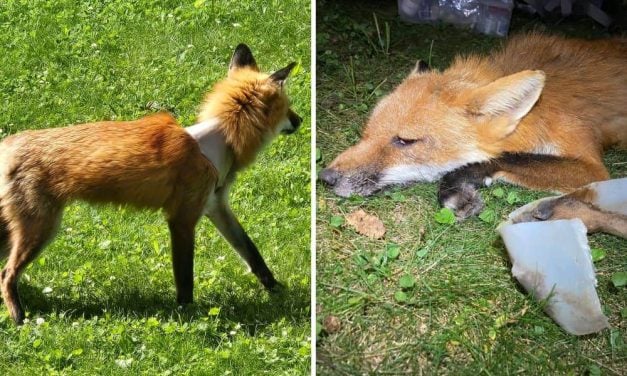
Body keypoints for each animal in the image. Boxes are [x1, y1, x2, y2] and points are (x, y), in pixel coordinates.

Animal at [0, 44, 304, 324]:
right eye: (287, 107)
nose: (300, 120)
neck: (220, 141)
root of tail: (8, 143)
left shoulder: (216, 206)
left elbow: (252, 253)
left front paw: (276, 289)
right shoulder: (182, 219)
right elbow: (185, 276)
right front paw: (188, 314)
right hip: (40, 229)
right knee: (6, 274)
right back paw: (19, 317)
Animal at [324, 32, 627, 220]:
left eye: (405, 141)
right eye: (367, 132)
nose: (325, 178)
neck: (541, 112)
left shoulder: (591, 168)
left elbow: (506, 158)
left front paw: (457, 187)